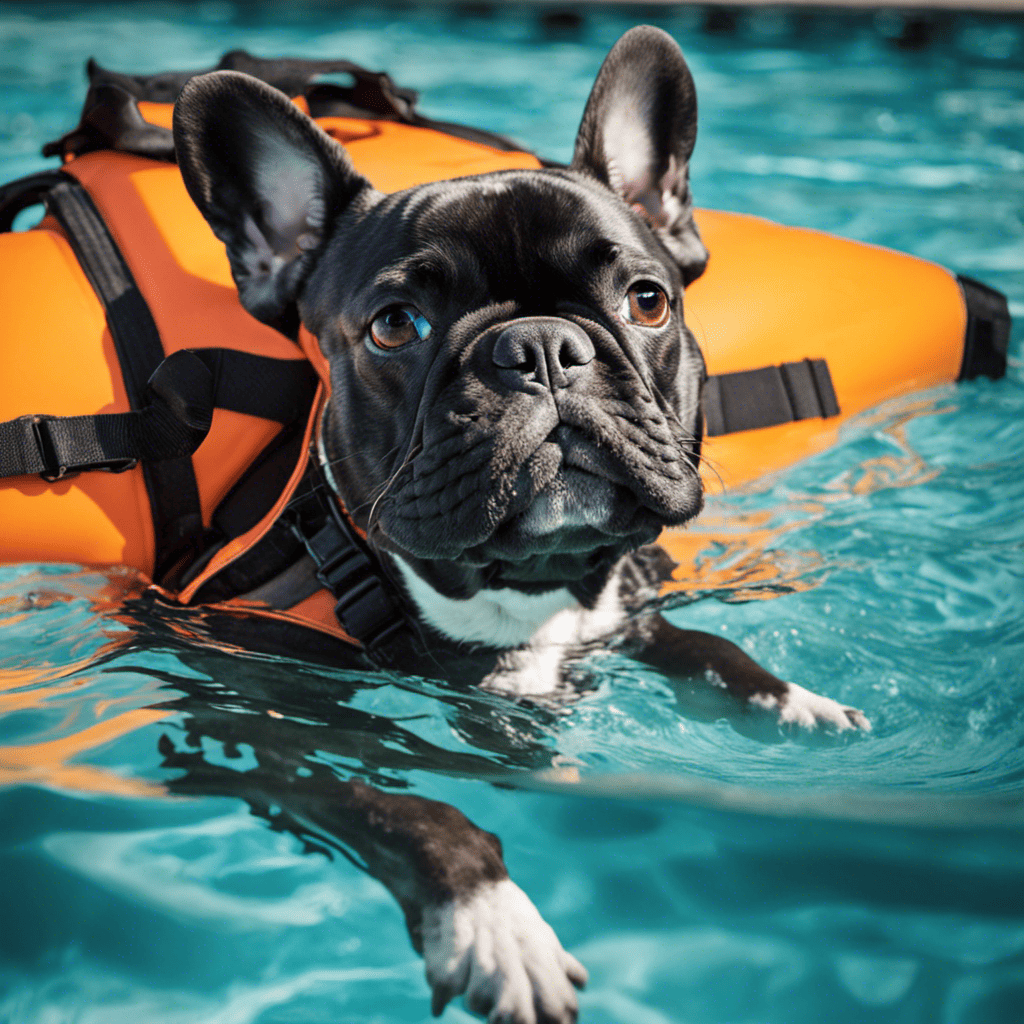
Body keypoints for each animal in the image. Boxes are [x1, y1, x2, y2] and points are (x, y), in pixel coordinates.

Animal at [169, 25, 872, 1024]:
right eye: (395, 325)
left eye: (648, 299)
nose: (540, 345)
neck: (525, 590)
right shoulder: (256, 715)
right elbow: (396, 801)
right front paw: (495, 924)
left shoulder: (625, 611)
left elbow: (716, 654)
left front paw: (799, 707)